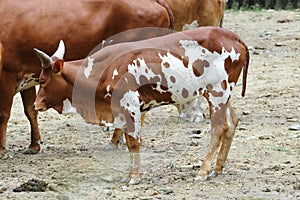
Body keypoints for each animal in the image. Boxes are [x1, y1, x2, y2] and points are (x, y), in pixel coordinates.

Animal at [0, 0, 173, 159]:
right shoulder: (25, 77)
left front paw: (1, 149)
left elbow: (4, 114)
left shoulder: (7, 75)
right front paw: (34, 145)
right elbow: (30, 111)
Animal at [32, 26, 250, 183]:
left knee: (219, 128)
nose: (35, 104)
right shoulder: (120, 111)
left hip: (217, 93)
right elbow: (129, 142)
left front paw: (134, 178)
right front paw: (129, 175)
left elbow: (134, 142)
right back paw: (217, 168)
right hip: (222, 95)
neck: (102, 69)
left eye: (42, 81)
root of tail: (235, 38)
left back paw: (203, 171)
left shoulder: (131, 106)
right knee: (232, 124)